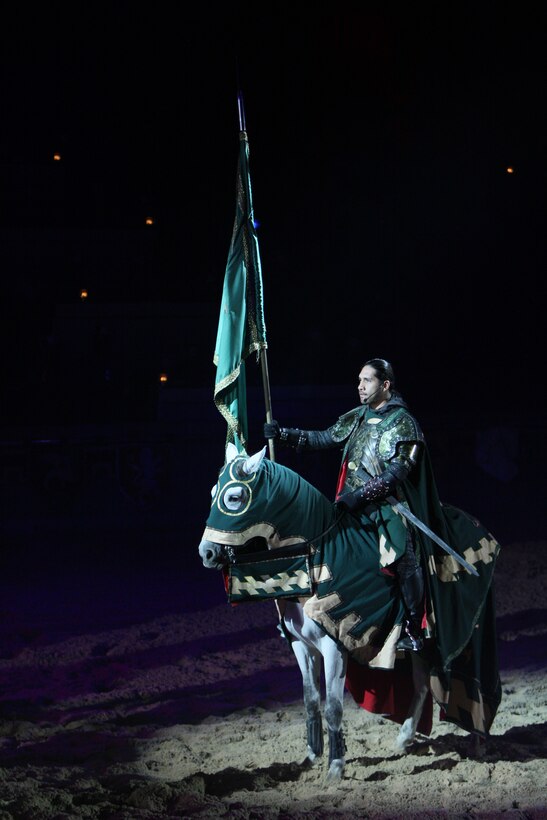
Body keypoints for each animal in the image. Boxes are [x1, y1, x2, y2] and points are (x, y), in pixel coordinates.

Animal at [198, 446, 500, 780]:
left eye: (234, 497)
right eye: (212, 493)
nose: (206, 553)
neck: (318, 557)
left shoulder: (335, 645)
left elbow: (333, 707)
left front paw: (336, 767)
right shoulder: (301, 646)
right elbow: (310, 701)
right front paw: (311, 756)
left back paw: (479, 743)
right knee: (422, 682)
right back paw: (405, 738)